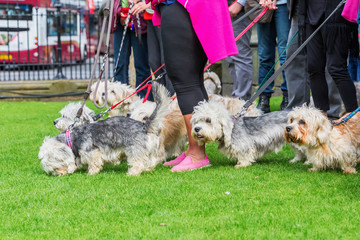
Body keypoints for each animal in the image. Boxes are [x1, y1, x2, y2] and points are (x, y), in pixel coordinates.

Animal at [39, 83, 170, 176]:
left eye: (56, 165)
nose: (56, 174)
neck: (72, 138)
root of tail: (144, 126)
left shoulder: (92, 152)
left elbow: (94, 163)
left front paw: (91, 172)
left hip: (134, 150)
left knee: (138, 163)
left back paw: (132, 173)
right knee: (151, 162)